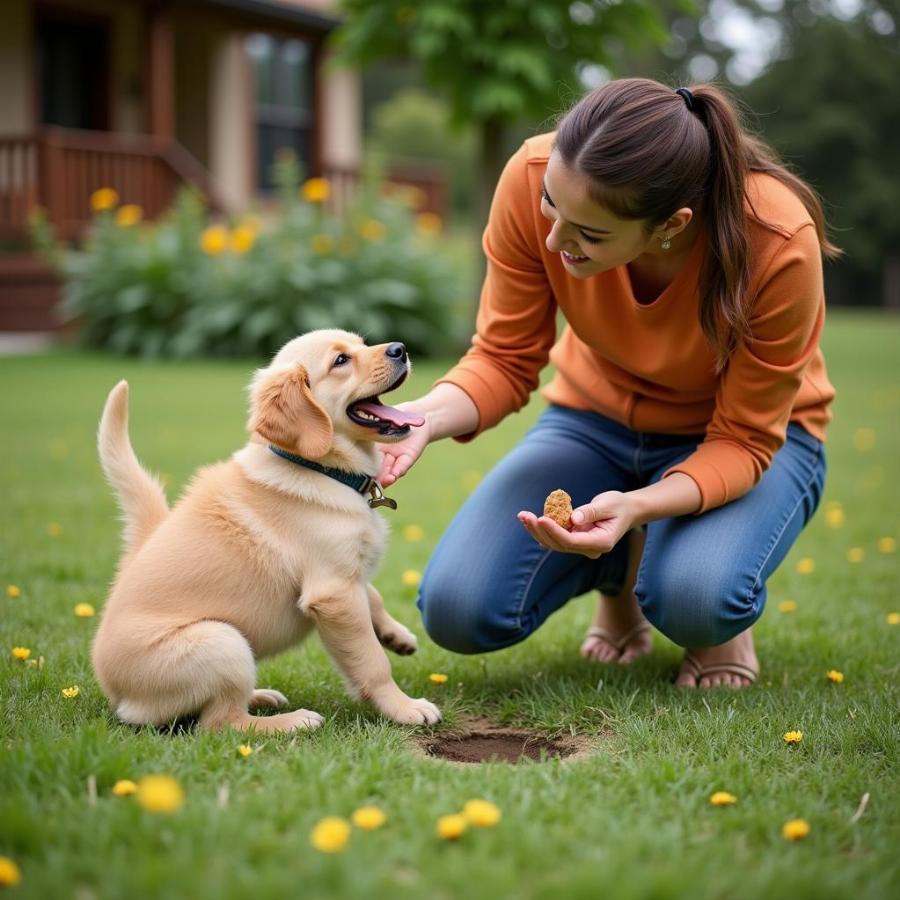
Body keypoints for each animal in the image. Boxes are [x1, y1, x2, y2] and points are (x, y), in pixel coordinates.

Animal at [91, 328, 442, 732]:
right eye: (340, 360)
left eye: (361, 343)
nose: (400, 349)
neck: (319, 468)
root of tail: (115, 694)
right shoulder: (334, 592)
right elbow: (372, 662)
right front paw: (404, 707)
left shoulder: (345, 573)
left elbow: (373, 595)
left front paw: (396, 635)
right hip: (222, 641)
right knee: (219, 724)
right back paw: (292, 721)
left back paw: (261, 696)